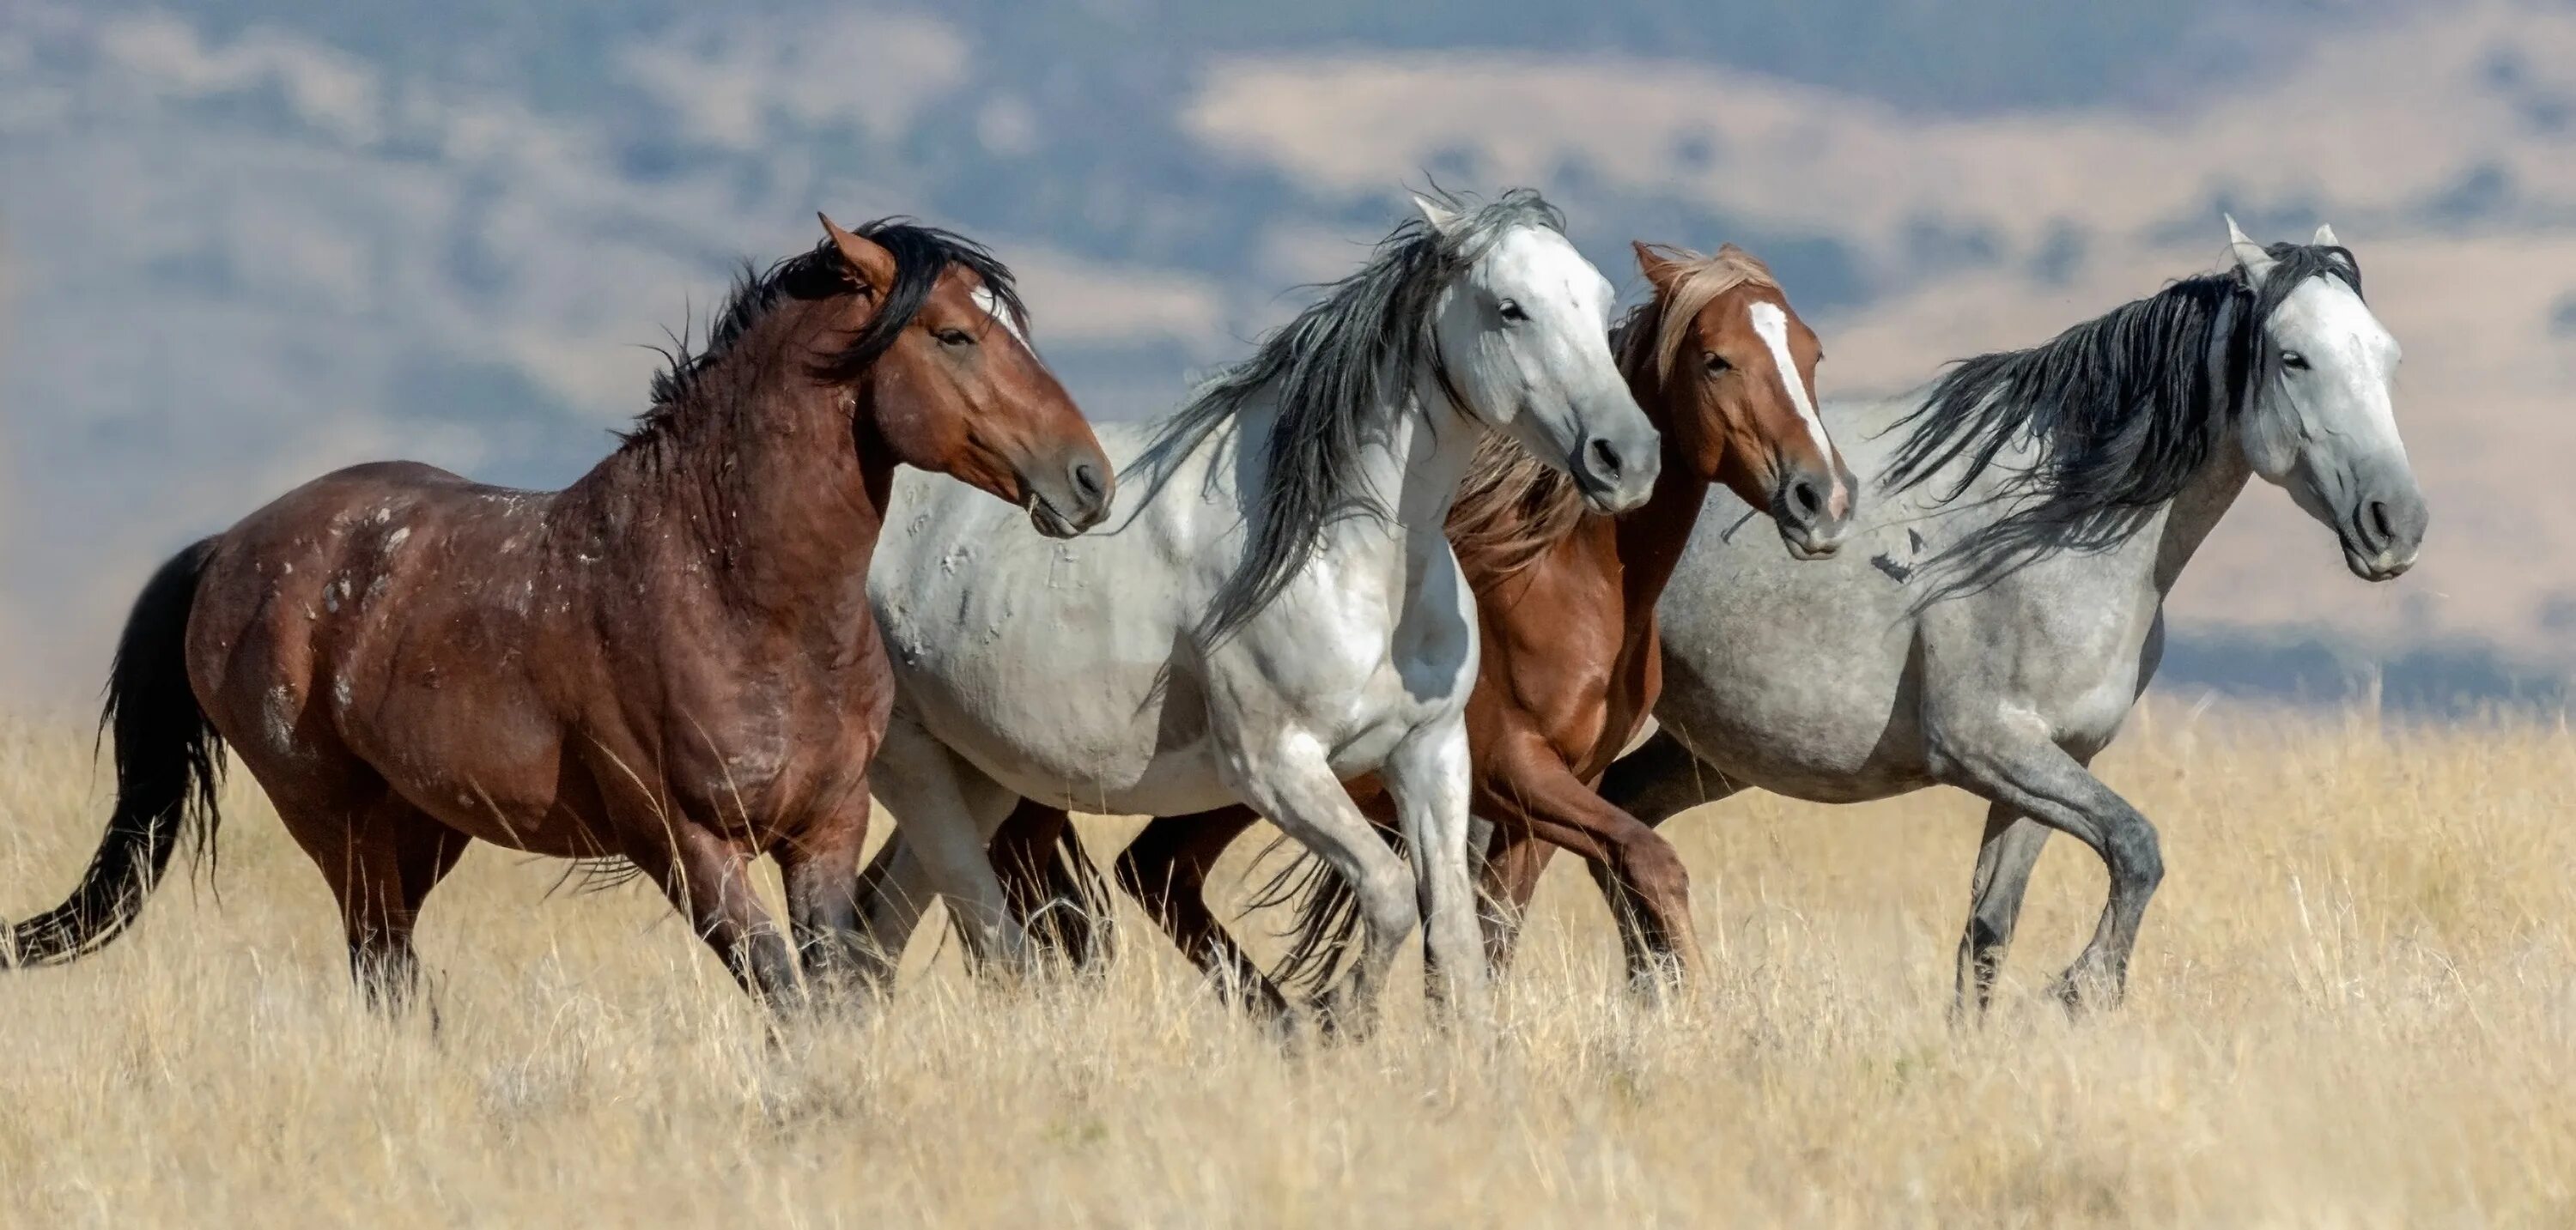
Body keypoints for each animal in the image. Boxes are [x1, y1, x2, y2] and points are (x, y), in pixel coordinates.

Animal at [9, 215, 1118, 1014]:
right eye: (954, 334)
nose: (1088, 479)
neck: (731, 593)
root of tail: (230, 548)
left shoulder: (825, 829)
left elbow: (832, 990)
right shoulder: (682, 841)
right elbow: (782, 992)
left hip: (423, 827)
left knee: (392, 965)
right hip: (333, 819)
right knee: (380, 965)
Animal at [891, 238, 1855, 1009]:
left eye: (1811, 353)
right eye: (1717, 360)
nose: (1824, 499)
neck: (1567, 581)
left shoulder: (1539, 797)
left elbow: (1494, 930)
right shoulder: (1517, 771)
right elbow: (1652, 860)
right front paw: (1694, 1004)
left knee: (1149, 874)